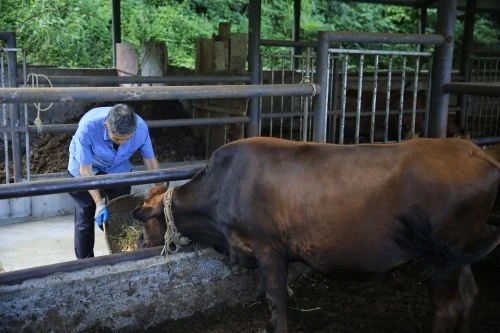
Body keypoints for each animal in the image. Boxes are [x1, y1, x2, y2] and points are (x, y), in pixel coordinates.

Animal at [132, 136, 500, 330]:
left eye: (143, 224)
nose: (140, 243)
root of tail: (472, 148)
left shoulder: (267, 248)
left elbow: (275, 299)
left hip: (442, 259)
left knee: (447, 308)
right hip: (459, 255)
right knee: (468, 295)